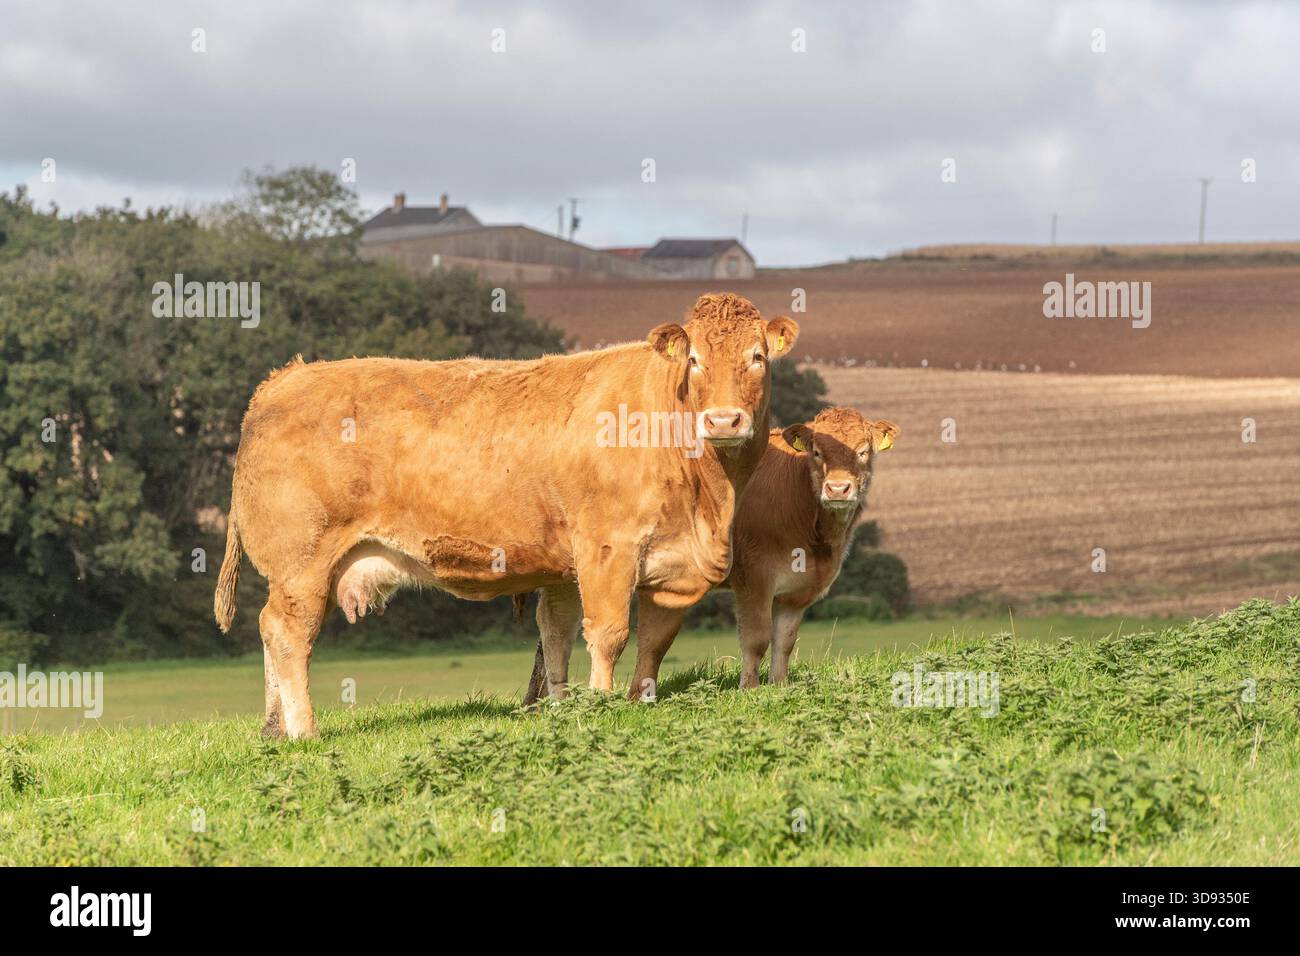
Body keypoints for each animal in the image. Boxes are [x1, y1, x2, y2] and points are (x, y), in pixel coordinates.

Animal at [214, 293, 798, 738]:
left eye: (757, 357)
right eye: (694, 360)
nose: (723, 420)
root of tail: (286, 377)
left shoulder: (658, 568)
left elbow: (609, 638)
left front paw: (624, 702)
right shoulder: (607, 548)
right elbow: (607, 632)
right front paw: (602, 705)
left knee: (270, 631)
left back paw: (273, 729)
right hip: (302, 563)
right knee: (287, 632)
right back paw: (303, 730)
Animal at [523, 406, 898, 702]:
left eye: (864, 452)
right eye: (817, 452)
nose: (838, 488)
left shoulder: (798, 590)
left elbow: (785, 641)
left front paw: (780, 686)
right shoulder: (756, 577)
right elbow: (757, 638)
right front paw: (750, 690)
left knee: (554, 628)